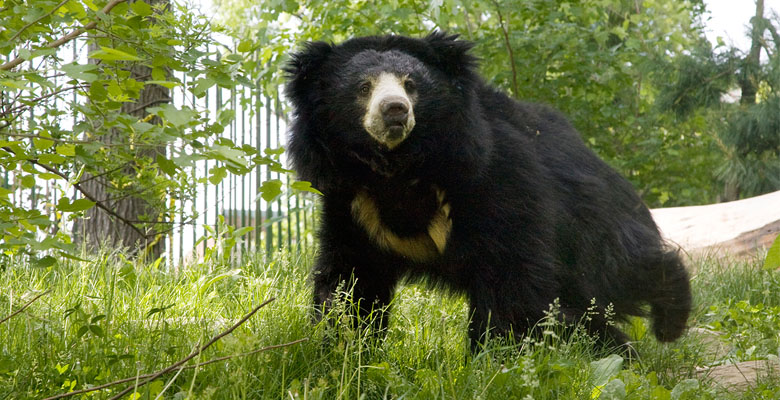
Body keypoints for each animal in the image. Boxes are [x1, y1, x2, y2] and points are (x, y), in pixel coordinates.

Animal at [284, 32, 692, 350]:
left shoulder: (496, 177)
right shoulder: (353, 202)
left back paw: (669, 319)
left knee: (616, 272)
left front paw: (494, 358)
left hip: (589, 225)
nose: (395, 111)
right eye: (363, 87)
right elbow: (352, 280)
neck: (399, 169)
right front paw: (343, 347)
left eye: (410, 84)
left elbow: (510, 274)